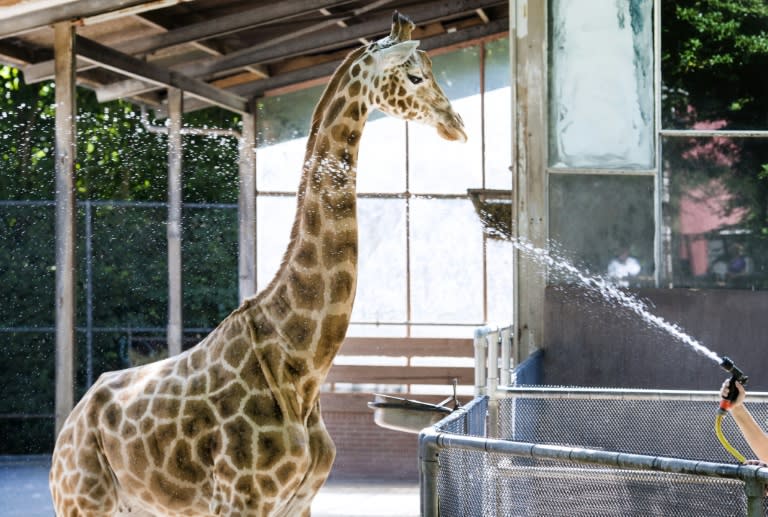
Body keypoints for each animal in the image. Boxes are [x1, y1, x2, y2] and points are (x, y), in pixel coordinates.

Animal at [51, 12, 464, 516]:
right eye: (415, 76)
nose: (457, 124)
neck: (302, 366)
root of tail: (70, 424)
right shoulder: (242, 498)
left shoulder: (299, 501)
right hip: (82, 500)